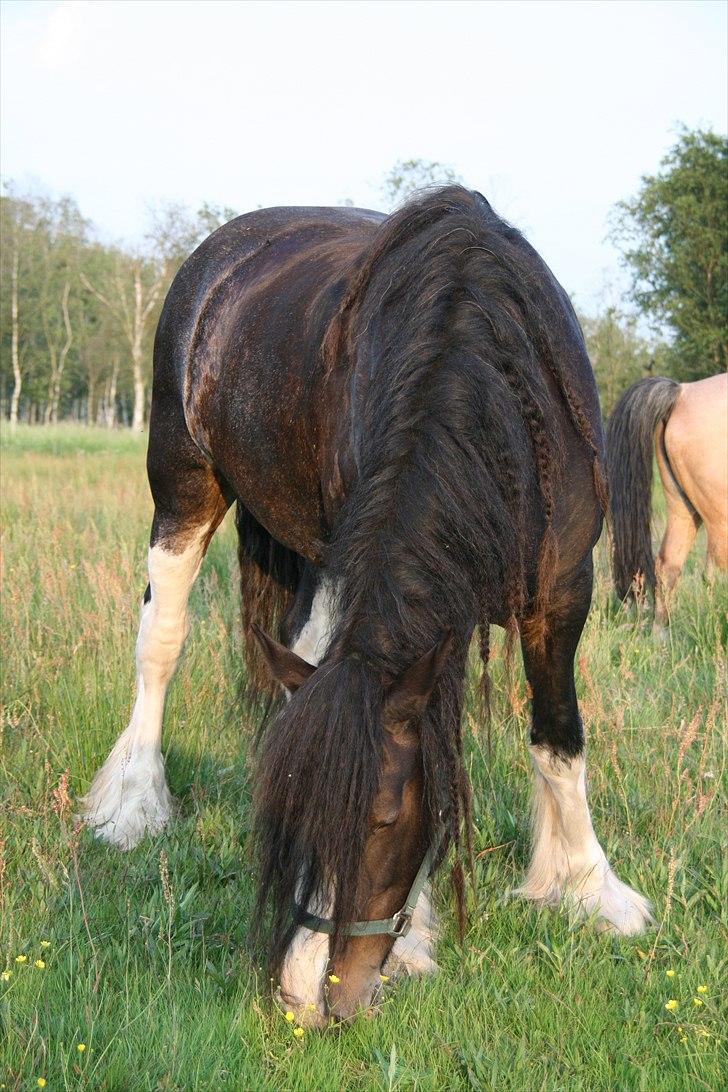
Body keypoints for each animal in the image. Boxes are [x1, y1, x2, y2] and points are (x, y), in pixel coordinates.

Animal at [81, 185, 654, 1022]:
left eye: (383, 820)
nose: (304, 994)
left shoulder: (562, 592)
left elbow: (557, 736)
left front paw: (588, 889)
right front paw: (420, 943)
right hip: (183, 486)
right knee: (160, 642)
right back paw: (133, 806)